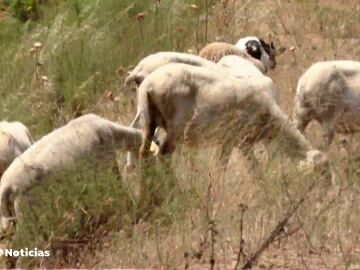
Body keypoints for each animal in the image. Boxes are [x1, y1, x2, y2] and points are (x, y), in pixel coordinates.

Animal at [131, 62, 330, 176]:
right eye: (322, 175)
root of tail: (148, 85)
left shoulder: (229, 141)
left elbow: (224, 165)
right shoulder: (241, 140)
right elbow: (254, 169)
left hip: (149, 121)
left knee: (144, 153)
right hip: (175, 129)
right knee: (163, 156)